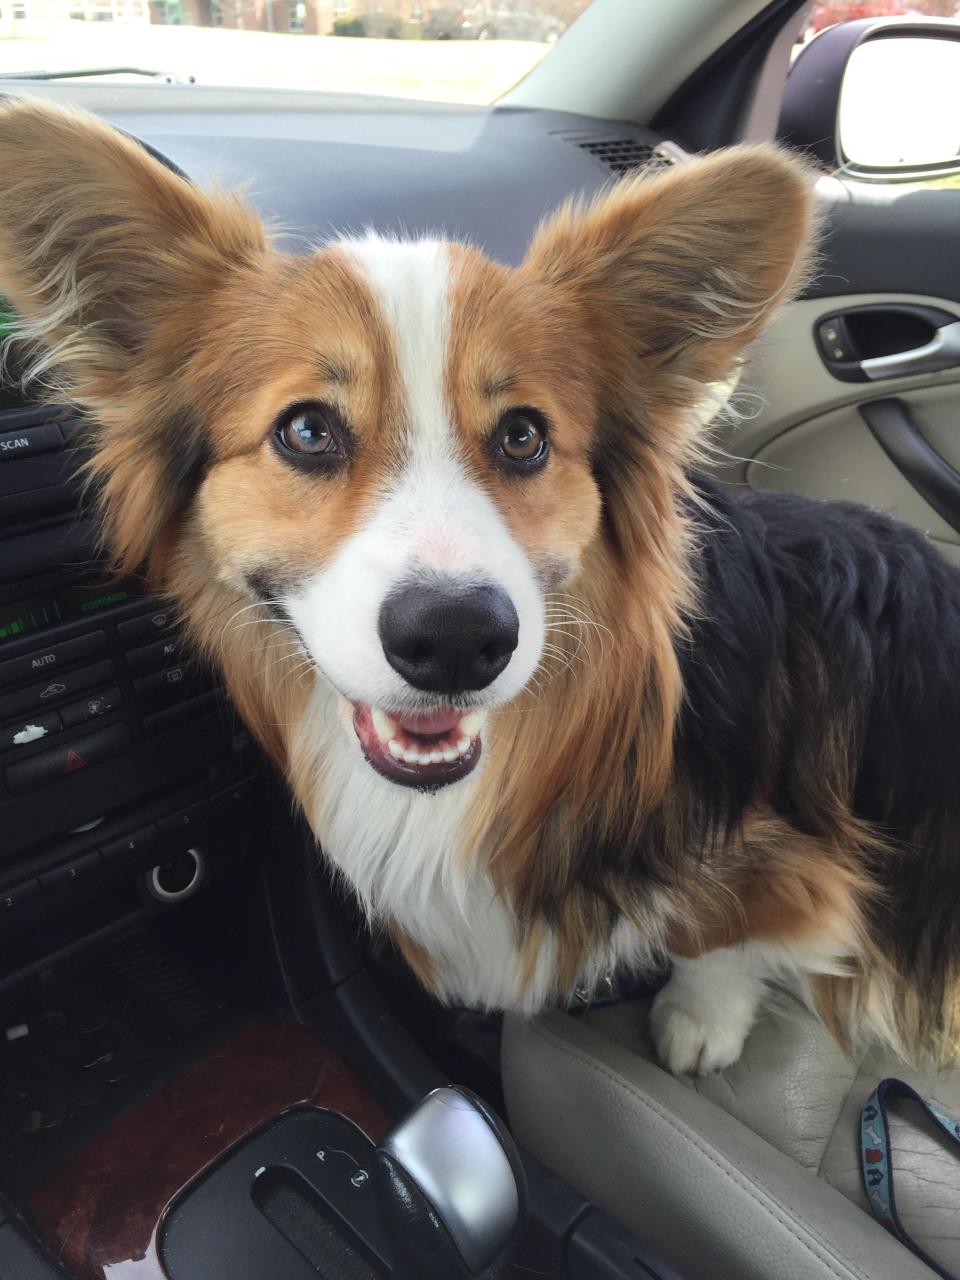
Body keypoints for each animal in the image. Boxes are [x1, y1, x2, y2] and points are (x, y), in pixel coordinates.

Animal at [1, 99, 960, 1075]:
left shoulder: (788, 852)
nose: (457, 640)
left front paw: (701, 1021)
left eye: (524, 436)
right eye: (306, 430)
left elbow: (725, 930)